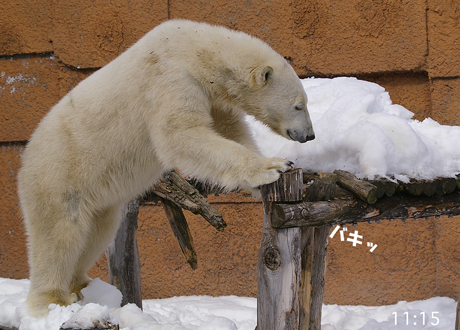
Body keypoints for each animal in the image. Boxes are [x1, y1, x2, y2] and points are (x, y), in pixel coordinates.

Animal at [17, 18, 312, 318]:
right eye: (299, 105)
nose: (309, 135)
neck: (198, 51)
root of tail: (25, 157)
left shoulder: (213, 96)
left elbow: (230, 130)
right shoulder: (170, 78)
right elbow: (181, 134)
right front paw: (274, 165)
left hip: (94, 194)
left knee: (98, 230)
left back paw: (83, 284)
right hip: (59, 175)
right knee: (59, 235)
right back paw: (53, 300)